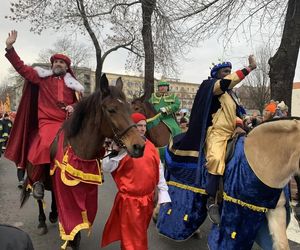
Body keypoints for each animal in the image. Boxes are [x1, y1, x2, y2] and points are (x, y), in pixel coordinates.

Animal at [24, 73, 145, 248]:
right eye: (111, 110)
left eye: (130, 109)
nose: (139, 146)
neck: (80, 150)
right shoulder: (66, 190)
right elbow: (70, 216)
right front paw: (71, 239)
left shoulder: (85, 189)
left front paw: (75, 236)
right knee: (39, 197)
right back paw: (42, 221)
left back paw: (53, 214)